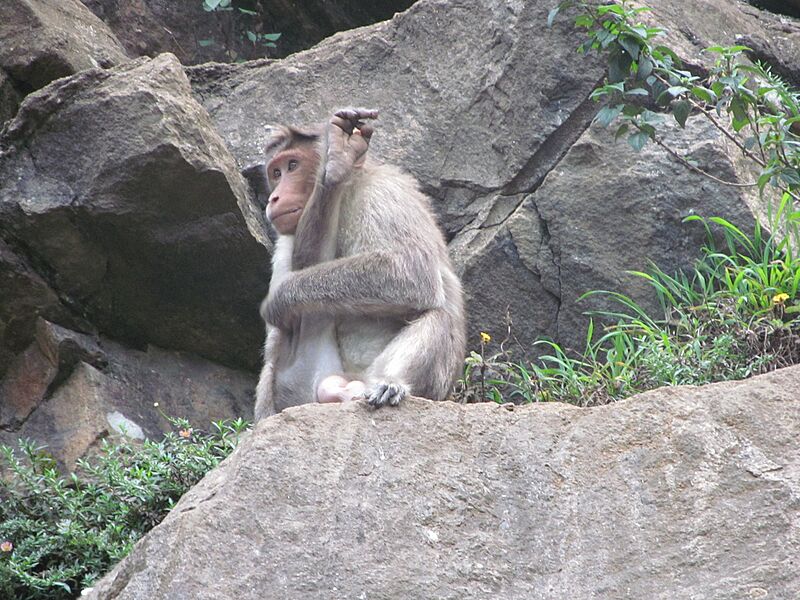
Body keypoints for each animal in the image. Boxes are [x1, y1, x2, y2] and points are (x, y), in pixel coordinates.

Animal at [254, 107, 466, 420]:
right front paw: (332, 172)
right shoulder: (286, 239)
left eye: (292, 165)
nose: (274, 197)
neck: (348, 194)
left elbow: (411, 274)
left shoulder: (384, 193)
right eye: (276, 172)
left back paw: (389, 385)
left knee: (439, 314)